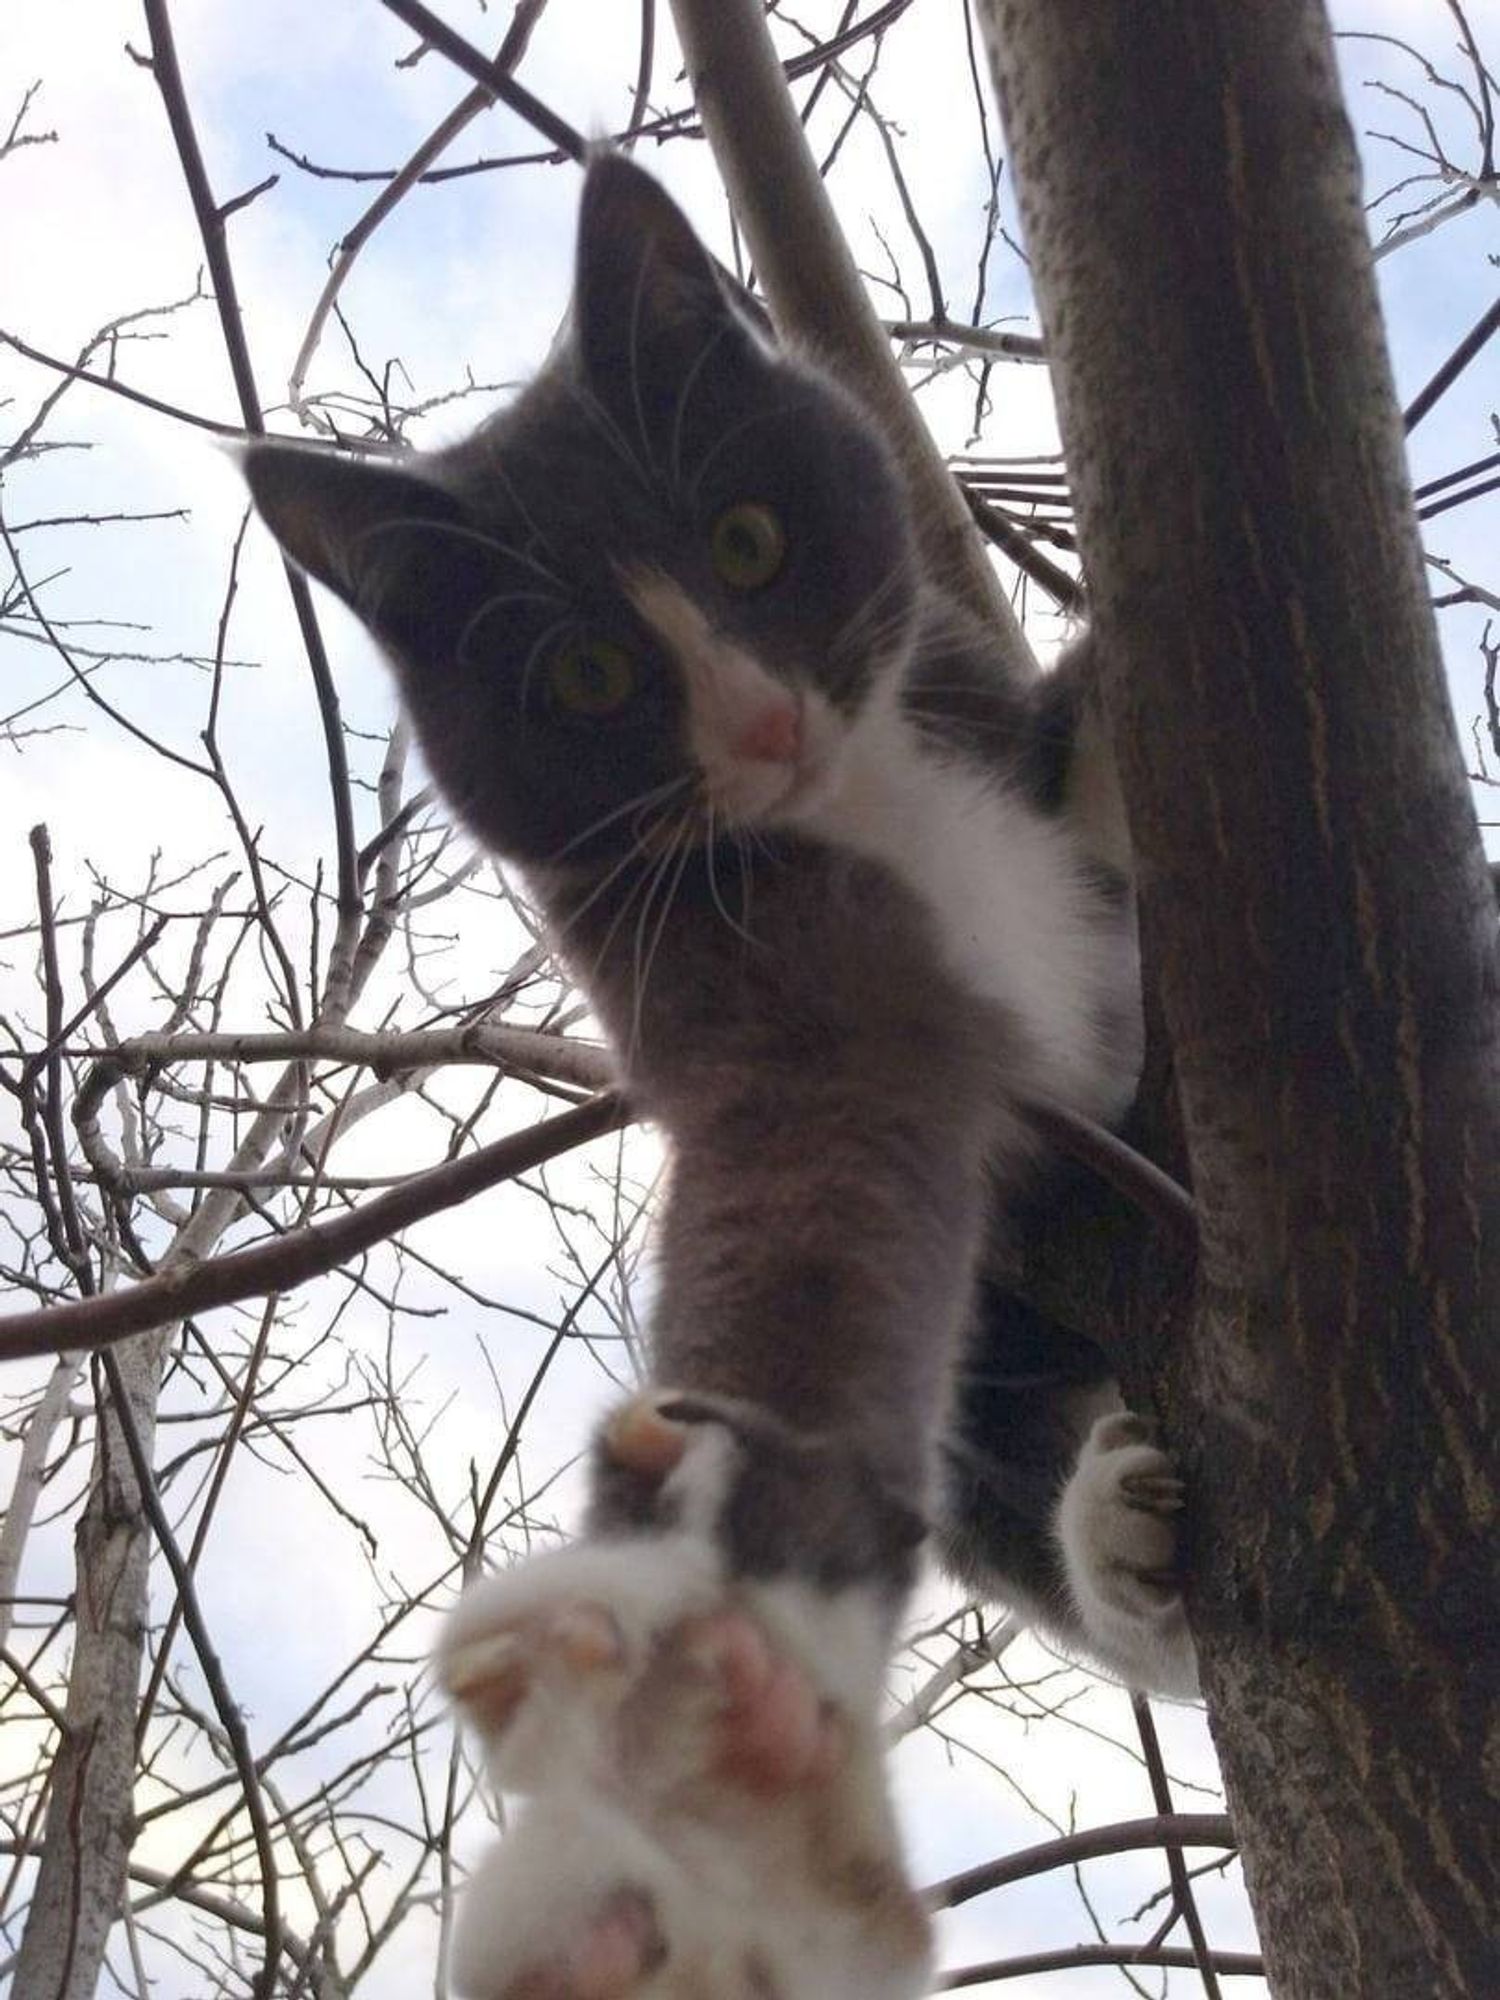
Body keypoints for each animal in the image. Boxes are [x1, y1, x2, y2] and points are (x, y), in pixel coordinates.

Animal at [253, 152, 1208, 2000]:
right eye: (586, 678)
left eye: (747, 539)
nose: (763, 725)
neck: (869, 802)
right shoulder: (757, 995)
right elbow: (824, 1207)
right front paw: (743, 1725)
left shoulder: (1015, 788)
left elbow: (1096, 778)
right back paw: (1125, 1543)